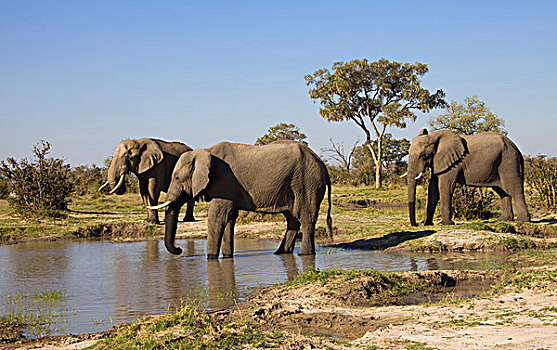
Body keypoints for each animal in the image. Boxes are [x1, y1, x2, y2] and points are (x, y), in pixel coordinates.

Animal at [146, 140, 332, 260]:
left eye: (177, 178)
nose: (179, 249)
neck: (203, 151)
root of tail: (321, 162)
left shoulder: (225, 181)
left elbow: (217, 217)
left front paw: (211, 258)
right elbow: (229, 218)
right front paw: (227, 257)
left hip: (306, 182)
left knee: (306, 217)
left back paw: (305, 254)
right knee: (292, 219)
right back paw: (280, 253)